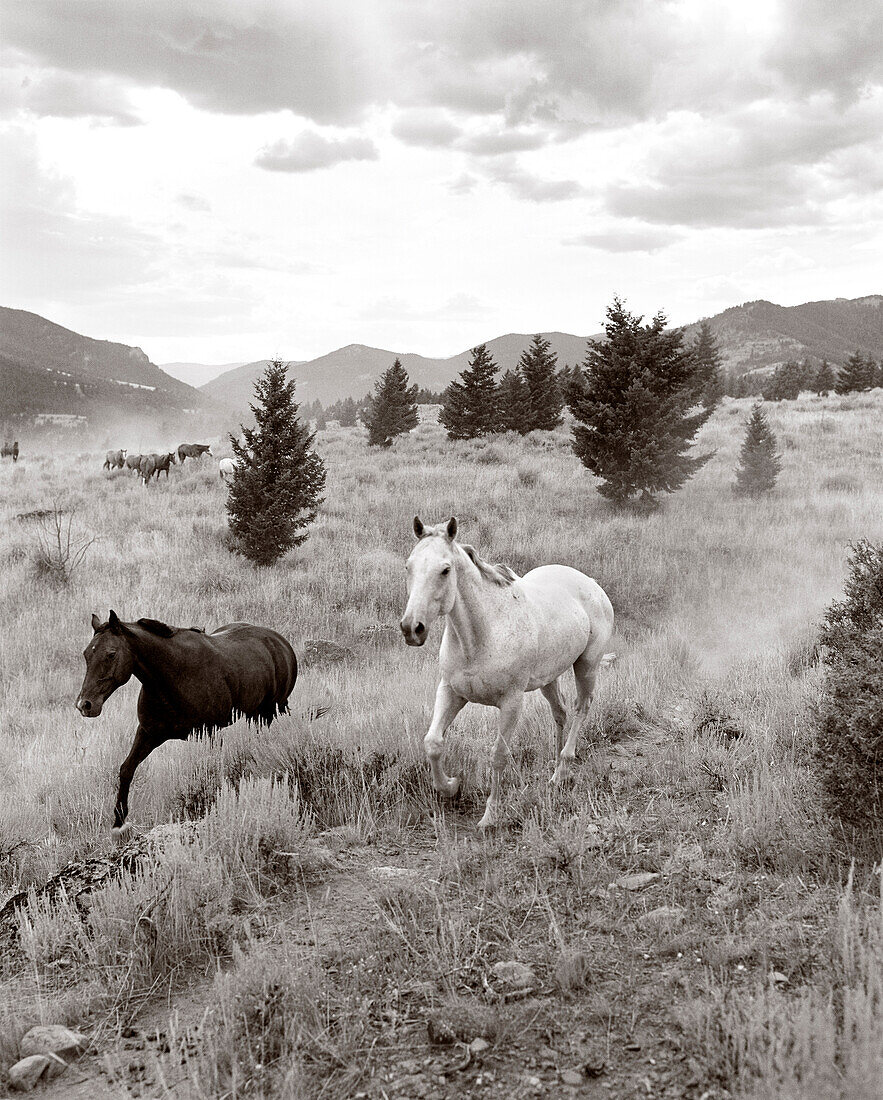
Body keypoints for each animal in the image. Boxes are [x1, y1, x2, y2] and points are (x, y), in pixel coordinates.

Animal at [76, 611, 296, 840]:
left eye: (111, 654)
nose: (85, 705)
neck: (173, 676)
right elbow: (127, 769)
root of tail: (279, 641)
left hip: (270, 713)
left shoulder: (211, 733)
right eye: (86, 654)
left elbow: (212, 771)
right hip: (257, 716)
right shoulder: (148, 733)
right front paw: (119, 822)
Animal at [400, 514, 615, 827]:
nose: (411, 628)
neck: (482, 635)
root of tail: (591, 583)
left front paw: (490, 816)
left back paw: (562, 770)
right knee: (560, 713)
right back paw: (552, 773)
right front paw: (451, 787)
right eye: (409, 566)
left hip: (587, 666)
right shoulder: (451, 692)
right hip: (548, 679)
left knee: (581, 708)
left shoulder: (511, 702)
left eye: (445, 570)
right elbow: (433, 743)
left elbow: (498, 755)